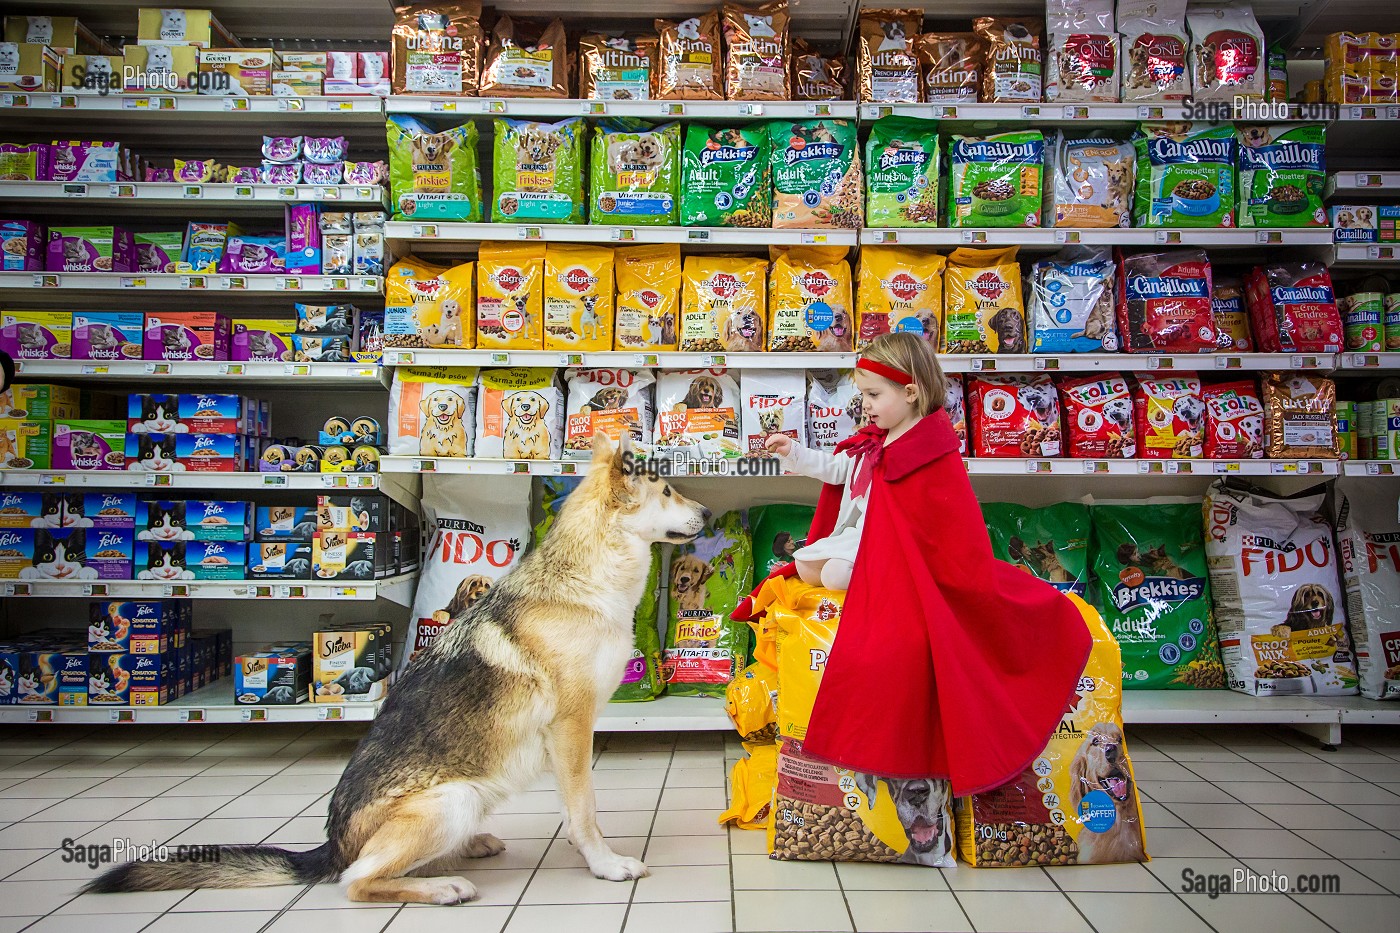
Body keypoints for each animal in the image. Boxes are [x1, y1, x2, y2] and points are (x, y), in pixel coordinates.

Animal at [84, 434, 711, 902]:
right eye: (668, 488)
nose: (706, 511)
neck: (585, 576)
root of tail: (333, 842)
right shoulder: (572, 731)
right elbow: (584, 812)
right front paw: (605, 864)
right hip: (453, 800)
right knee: (358, 880)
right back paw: (444, 887)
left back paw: (467, 849)